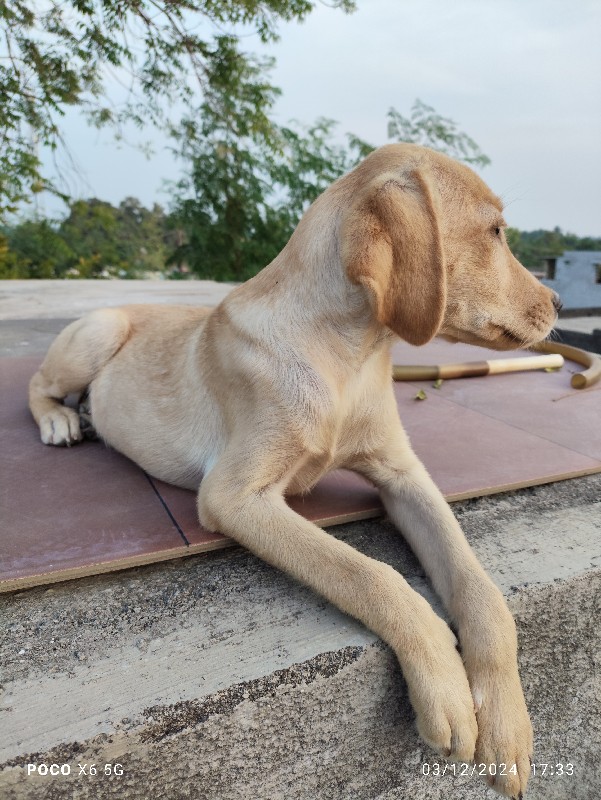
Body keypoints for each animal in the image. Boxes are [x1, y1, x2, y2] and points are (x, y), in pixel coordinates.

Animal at [30, 145, 560, 800]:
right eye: (494, 232)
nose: (560, 306)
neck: (346, 356)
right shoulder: (234, 496)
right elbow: (373, 575)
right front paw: (445, 684)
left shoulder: (405, 476)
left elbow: (481, 589)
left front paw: (507, 722)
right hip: (98, 333)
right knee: (36, 385)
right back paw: (61, 420)